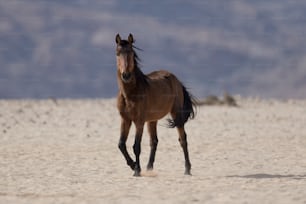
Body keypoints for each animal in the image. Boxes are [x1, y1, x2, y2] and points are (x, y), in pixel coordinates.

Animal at [115, 33, 196, 177]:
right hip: (152, 120)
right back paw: (149, 167)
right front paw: (133, 165)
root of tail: (176, 80)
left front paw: (137, 170)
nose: (126, 75)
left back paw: (187, 169)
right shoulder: (125, 120)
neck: (131, 93)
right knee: (154, 141)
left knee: (183, 140)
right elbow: (121, 144)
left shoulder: (139, 121)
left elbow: (136, 146)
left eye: (131, 52)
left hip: (176, 114)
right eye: (118, 53)